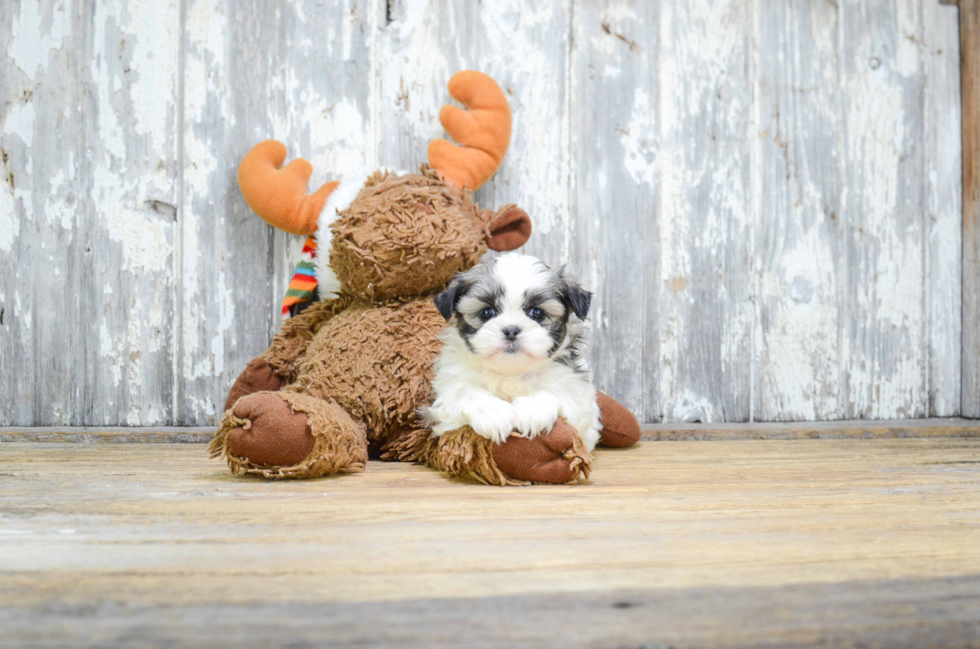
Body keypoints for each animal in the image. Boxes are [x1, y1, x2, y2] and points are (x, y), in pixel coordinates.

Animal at [424, 252, 600, 450]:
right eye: (487, 312)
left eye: (537, 313)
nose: (511, 330)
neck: (511, 372)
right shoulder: (447, 392)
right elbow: (466, 392)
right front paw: (492, 412)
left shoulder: (574, 387)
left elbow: (558, 392)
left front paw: (532, 408)